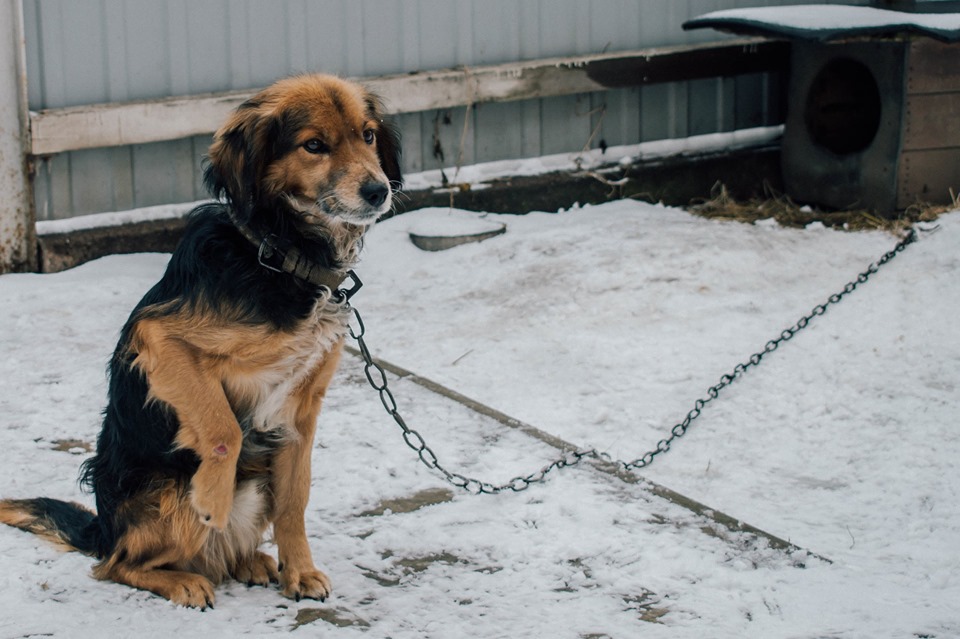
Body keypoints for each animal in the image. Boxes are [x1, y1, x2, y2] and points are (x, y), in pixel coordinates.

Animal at [0, 75, 402, 608]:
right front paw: (213, 497)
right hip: (166, 501)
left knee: (219, 552)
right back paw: (182, 579)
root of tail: (104, 529)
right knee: (117, 565)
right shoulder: (160, 338)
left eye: (368, 135)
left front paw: (300, 571)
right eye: (314, 145)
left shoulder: (302, 410)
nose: (379, 191)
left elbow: (295, 500)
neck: (280, 254)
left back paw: (253, 561)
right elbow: (221, 427)